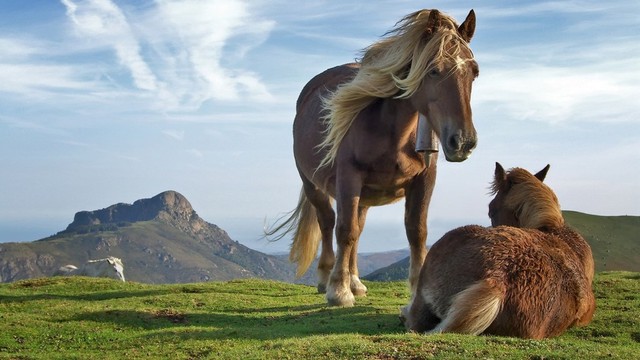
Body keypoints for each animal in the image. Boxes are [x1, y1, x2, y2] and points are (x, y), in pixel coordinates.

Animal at [266, 9, 480, 306]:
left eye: (474, 73)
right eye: (433, 70)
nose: (463, 142)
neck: (392, 131)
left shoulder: (425, 179)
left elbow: (416, 231)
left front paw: (416, 290)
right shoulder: (348, 178)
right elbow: (344, 230)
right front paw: (338, 291)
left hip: (365, 196)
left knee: (358, 229)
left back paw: (355, 281)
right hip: (313, 185)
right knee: (328, 222)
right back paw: (326, 277)